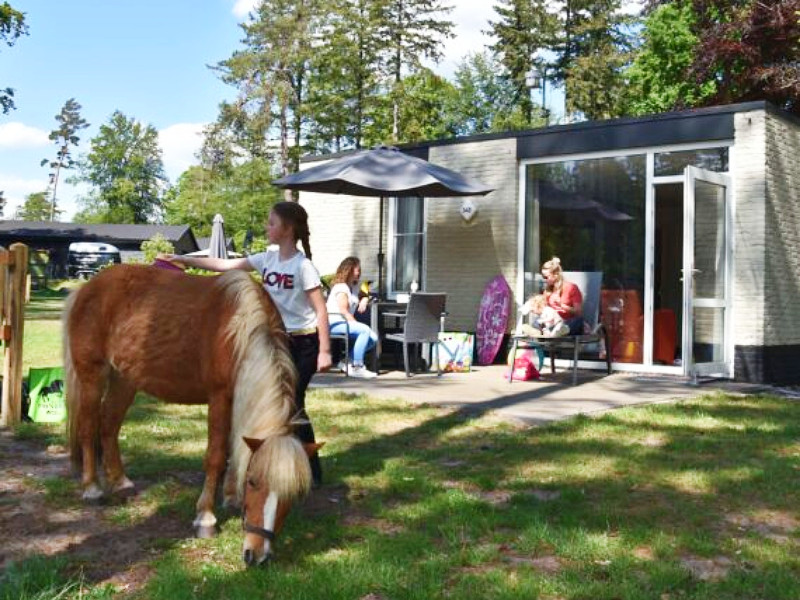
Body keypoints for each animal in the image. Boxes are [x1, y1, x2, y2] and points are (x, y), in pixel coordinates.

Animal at [61, 264, 316, 564]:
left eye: (292, 495)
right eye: (253, 482)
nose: (257, 556)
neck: (240, 330)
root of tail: (85, 289)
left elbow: (234, 449)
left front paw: (231, 497)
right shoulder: (219, 397)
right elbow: (216, 456)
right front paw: (205, 517)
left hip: (124, 380)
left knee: (109, 426)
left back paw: (120, 481)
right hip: (92, 377)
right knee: (89, 427)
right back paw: (92, 487)